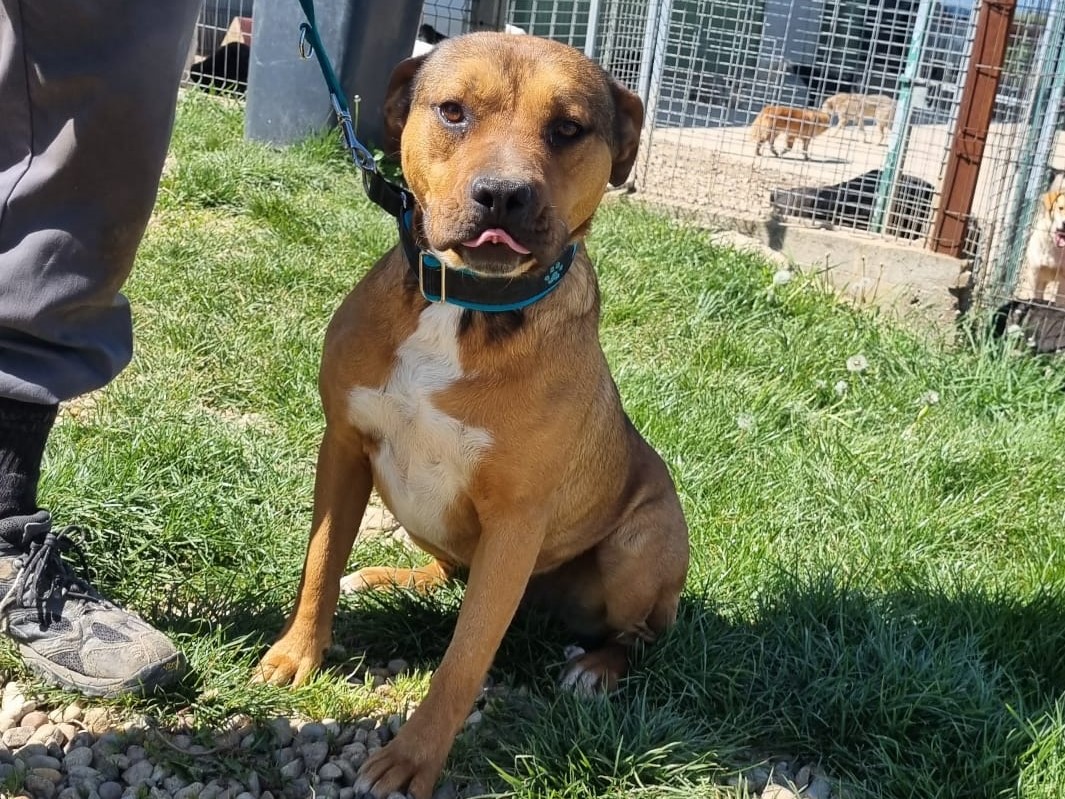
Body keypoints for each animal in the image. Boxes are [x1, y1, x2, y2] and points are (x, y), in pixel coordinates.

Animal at [255, 32, 689, 799]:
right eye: (452, 111)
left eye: (568, 128)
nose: (504, 194)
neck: (462, 305)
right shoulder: (343, 447)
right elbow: (318, 565)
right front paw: (295, 653)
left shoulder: (515, 521)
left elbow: (463, 657)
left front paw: (412, 761)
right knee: (450, 570)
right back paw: (389, 577)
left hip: (642, 542)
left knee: (640, 634)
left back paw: (597, 667)